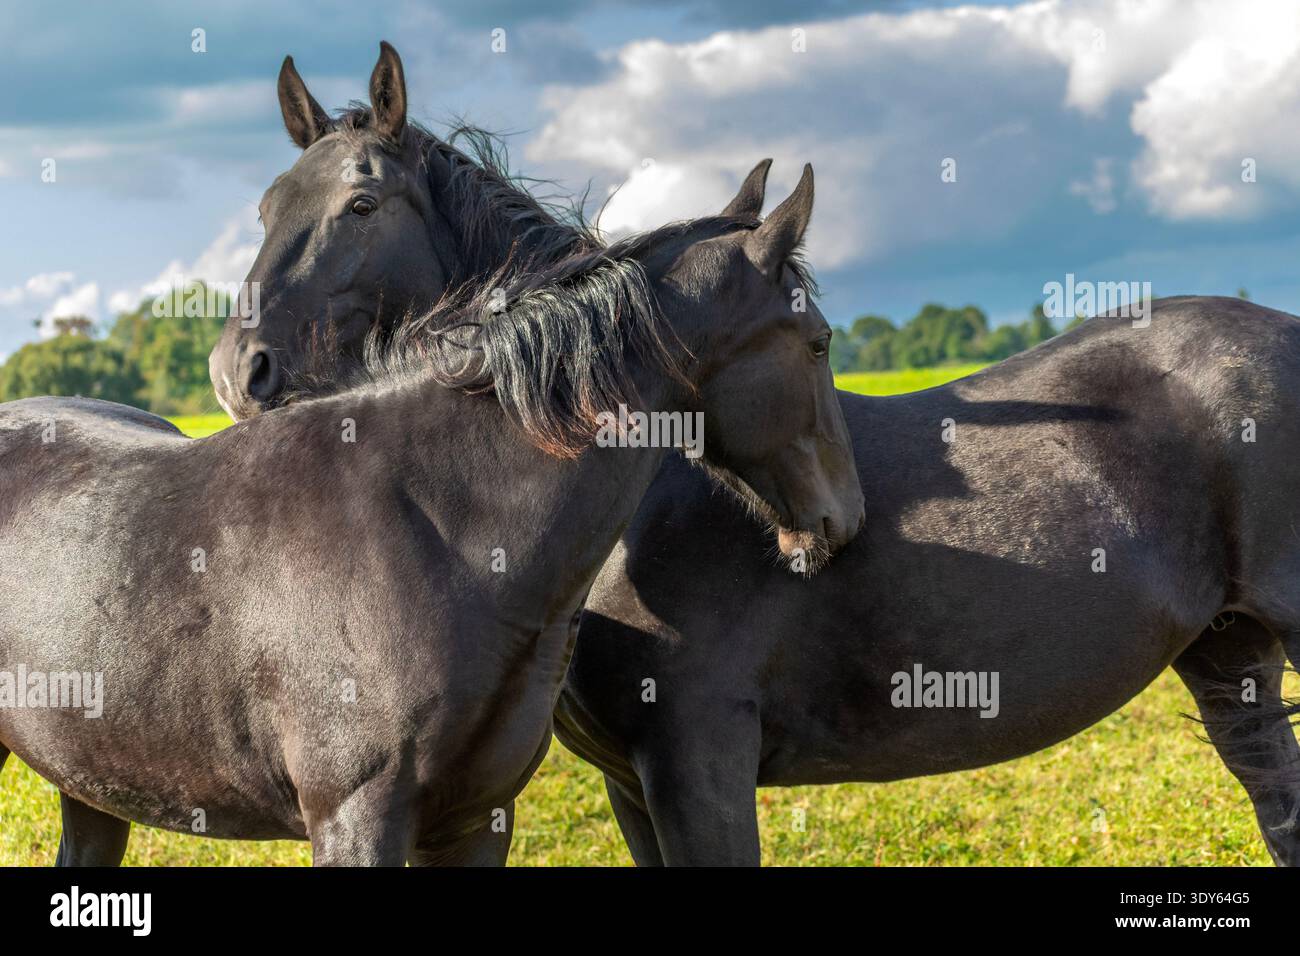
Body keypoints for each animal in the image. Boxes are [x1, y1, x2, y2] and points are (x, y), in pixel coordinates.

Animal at [0, 171, 865, 865]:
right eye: (819, 343)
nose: (846, 516)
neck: (437, 527)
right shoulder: (356, 821)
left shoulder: (477, 819)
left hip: (92, 782)